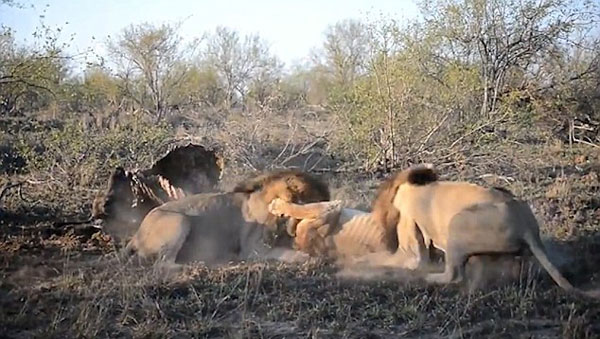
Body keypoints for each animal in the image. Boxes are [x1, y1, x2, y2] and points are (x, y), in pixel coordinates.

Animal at [122, 169, 328, 266]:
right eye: (316, 201)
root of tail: (136, 235)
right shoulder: (253, 249)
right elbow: (281, 252)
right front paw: (308, 257)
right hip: (180, 220)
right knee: (162, 265)